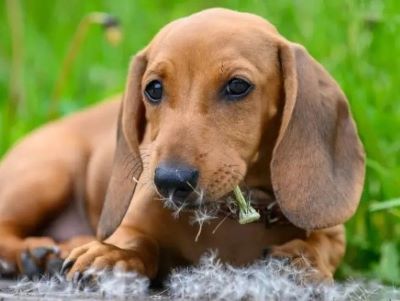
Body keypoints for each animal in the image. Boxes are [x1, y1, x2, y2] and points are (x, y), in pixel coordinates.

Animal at [0, 9, 366, 282]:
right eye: (153, 89)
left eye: (237, 86)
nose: (170, 181)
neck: (228, 217)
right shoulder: (134, 222)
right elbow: (136, 239)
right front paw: (113, 254)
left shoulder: (334, 234)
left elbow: (321, 245)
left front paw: (299, 258)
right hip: (48, 173)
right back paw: (33, 252)